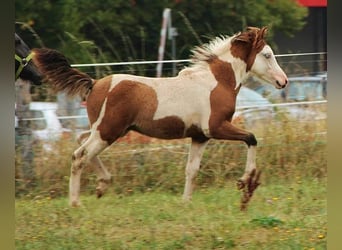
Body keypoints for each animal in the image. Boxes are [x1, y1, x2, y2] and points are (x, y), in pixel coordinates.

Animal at [32, 26, 288, 210]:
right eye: (267, 55)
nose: (283, 81)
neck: (216, 82)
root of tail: (94, 83)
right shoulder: (215, 128)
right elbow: (251, 138)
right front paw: (246, 181)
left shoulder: (200, 136)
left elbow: (191, 170)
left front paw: (186, 203)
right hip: (108, 131)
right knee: (79, 155)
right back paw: (76, 202)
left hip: (106, 128)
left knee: (81, 142)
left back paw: (102, 185)